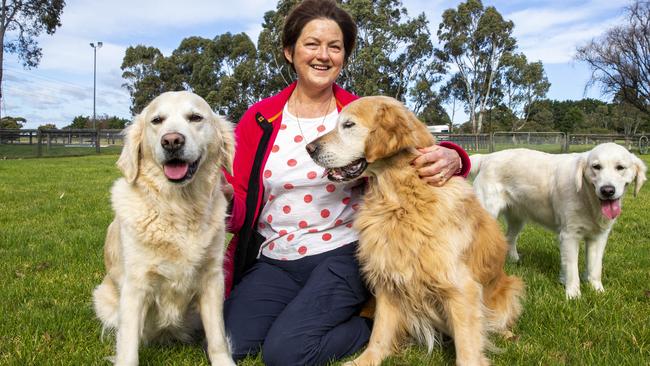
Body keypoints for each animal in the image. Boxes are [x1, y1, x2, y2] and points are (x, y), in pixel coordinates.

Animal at [90, 91, 234, 366]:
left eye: (195, 117)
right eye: (157, 120)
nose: (172, 141)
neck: (178, 208)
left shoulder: (212, 279)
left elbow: (218, 336)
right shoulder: (135, 286)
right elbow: (128, 347)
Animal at [470, 142, 644, 298]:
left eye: (620, 167)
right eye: (596, 167)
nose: (607, 190)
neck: (587, 196)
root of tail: (487, 157)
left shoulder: (598, 237)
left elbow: (595, 268)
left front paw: (597, 291)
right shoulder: (569, 235)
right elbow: (572, 269)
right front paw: (573, 295)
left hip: (517, 218)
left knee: (509, 238)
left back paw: (514, 260)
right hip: (488, 214)